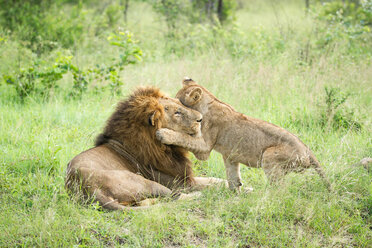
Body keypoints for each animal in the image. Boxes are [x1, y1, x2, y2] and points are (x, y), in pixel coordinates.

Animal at [64, 86, 221, 210]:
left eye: (179, 103)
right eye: (177, 112)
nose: (200, 119)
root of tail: (89, 188)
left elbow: (213, 179)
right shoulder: (180, 183)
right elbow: (207, 184)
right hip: (146, 182)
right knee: (174, 196)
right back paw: (198, 196)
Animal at [155, 78, 330, 191]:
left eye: (177, 102)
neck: (208, 102)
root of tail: (308, 151)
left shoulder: (204, 147)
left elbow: (183, 137)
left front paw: (163, 133)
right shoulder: (230, 155)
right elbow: (233, 177)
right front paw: (234, 195)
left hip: (269, 155)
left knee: (282, 191)